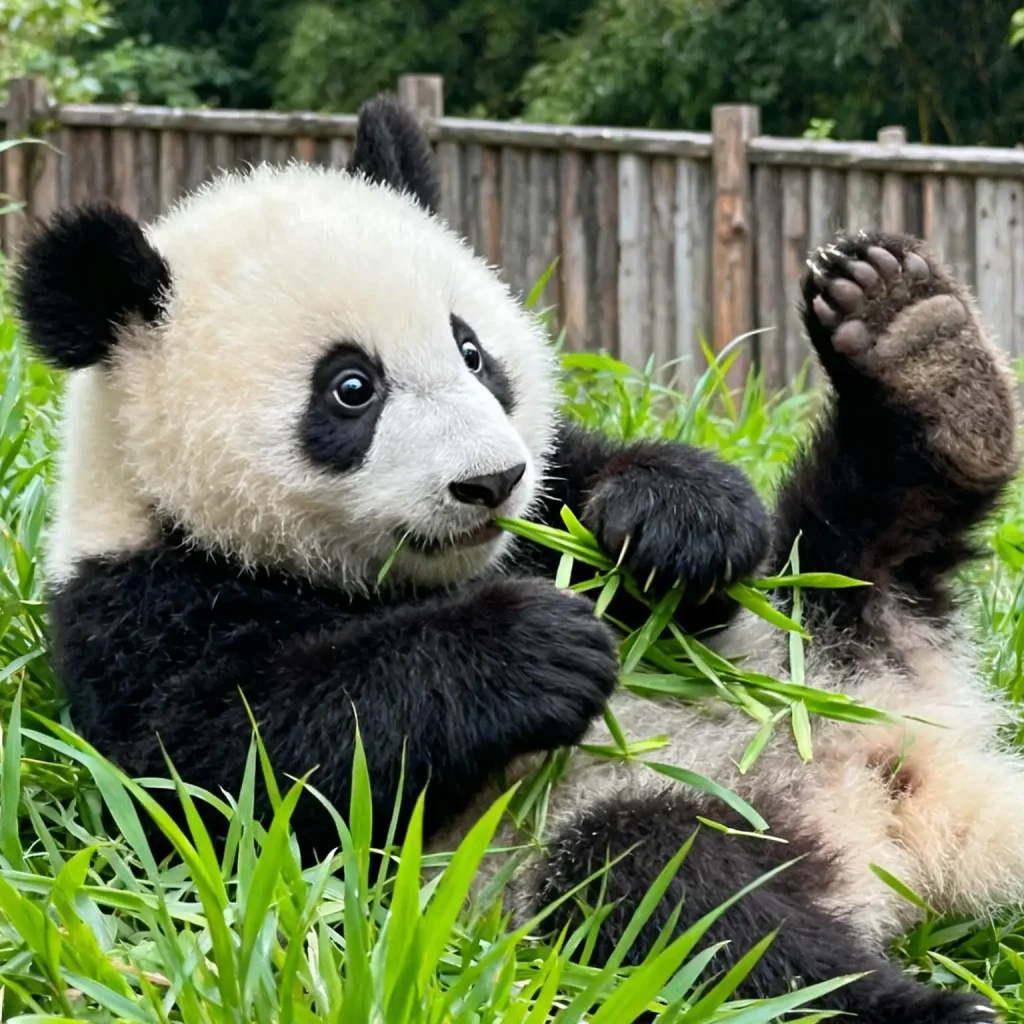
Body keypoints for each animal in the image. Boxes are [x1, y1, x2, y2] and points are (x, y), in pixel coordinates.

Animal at [12, 95, 1024, 1024]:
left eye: (473, 352)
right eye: (351, 389)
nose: (489, 481)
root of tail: (900, 800)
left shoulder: (552, 494)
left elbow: (628, 512)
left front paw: (677, 520)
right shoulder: (137, 609)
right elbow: (237, 771)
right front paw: (531, 648)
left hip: (812, 633)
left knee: (853, 543)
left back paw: (917, 346)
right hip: (603, 835)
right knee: (686, 909)